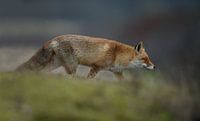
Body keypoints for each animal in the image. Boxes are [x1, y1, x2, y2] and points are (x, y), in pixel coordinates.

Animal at [16, 34, 155, 79]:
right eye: (145, 59)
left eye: (149, 59)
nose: (154, 66)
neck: (118, 55)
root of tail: (54, 39)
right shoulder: (96, 67)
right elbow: (89, 80)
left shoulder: (117, 72)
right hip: (72, 67)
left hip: (55, 65)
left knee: (41, 72)